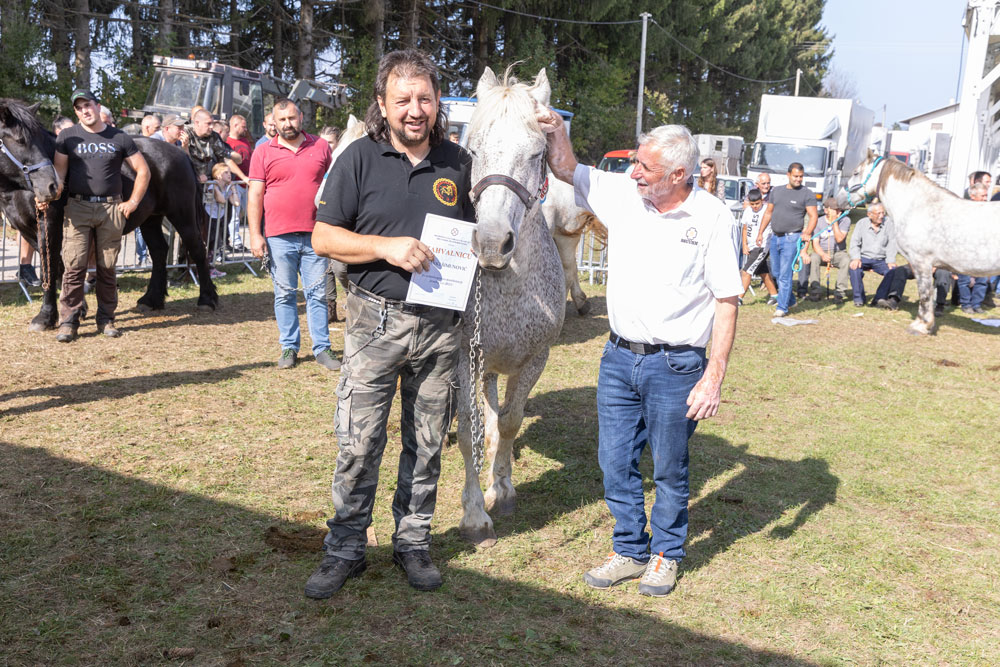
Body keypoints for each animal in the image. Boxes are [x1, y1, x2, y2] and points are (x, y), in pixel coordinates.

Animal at [0, 98, 218, 329]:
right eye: (20, 140)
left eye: (37, 139)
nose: (52, 186)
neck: (16, 189)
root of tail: (181, 154)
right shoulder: (29, 231)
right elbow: (59, 269)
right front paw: (77, 309)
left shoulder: (49, 226)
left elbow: (51, 269)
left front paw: (46, 317)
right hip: (150, 219)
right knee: (159, 251)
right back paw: (151, 300)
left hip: (182, 215)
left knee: (198, 249)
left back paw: (207, 299)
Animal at [842, 152, 1000, 335]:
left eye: (855, 172)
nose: (836, 199)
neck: (918, 206)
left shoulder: (921, 262)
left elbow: (924, 293)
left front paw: (921, 325)